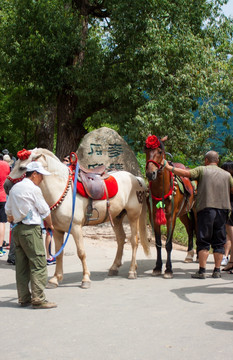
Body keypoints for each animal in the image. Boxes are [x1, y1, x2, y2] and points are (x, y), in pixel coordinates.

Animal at [4, 148, 150, 288]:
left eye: (22, 167)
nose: (5, 186)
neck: (62, 190)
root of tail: (136, 179)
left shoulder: (76, 228)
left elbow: (81, 253)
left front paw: (85, 279)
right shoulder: (57, 231)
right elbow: (59, 253)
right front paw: (55, 279)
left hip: (133, 216)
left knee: (134, 241)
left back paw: (132, 270)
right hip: (117, 217)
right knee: (120, 239)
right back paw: (114, 267)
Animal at [145, 135, 196, 278]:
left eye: (160, 152)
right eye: (146, 150)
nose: (150, 173)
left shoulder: (171, 217)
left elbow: (168, 244)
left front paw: (168, 269)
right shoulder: (153, 218)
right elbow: (158, 243)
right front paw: (157, 267)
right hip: (183, 213)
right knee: (189, 227)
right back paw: (189, 254)